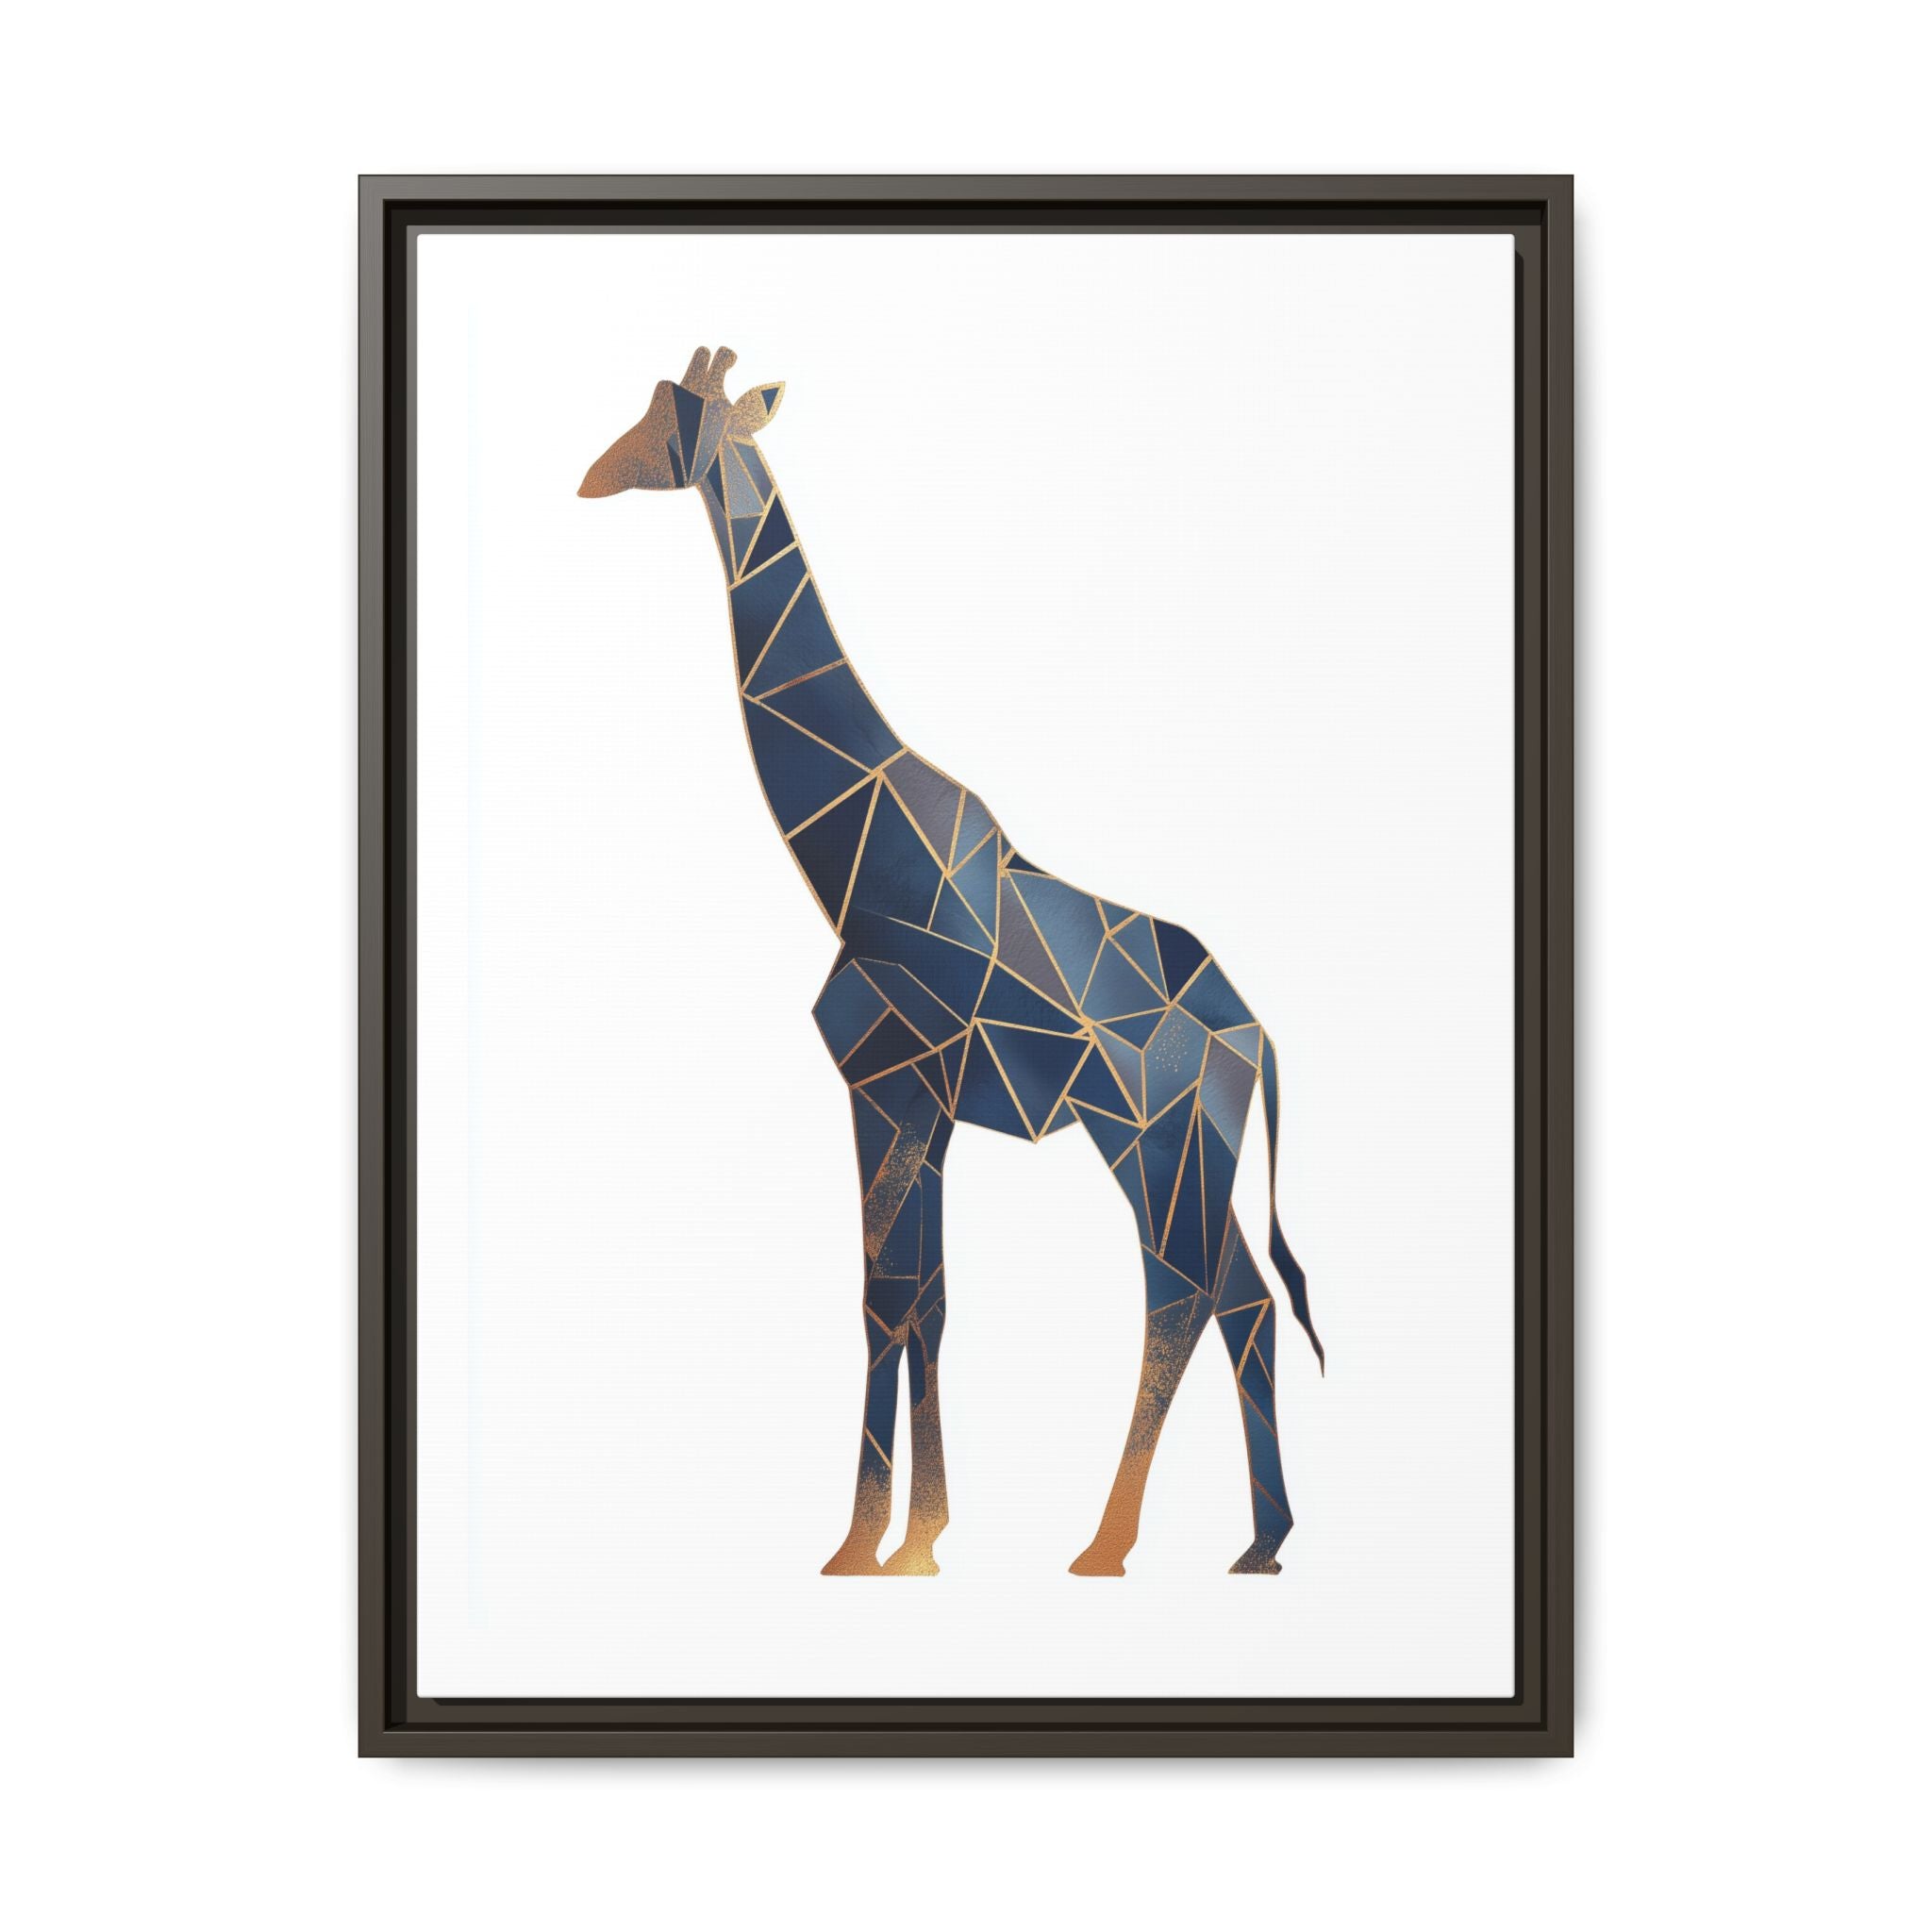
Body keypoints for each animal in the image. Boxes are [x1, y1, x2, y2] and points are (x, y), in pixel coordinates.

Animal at [580, 345, 1322, 1577]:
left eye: (676, 421)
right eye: (648, 406)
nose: (593, 474)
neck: (854, 860)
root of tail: (1253, 1034)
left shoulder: (886, 1084)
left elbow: (888, 1299)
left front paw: (874, 1542)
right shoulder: (917, 1104)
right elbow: (920, 1298)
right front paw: (906, 1537)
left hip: (1150, 1136)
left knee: (1181, 1293)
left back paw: (1108, 1544)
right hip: (1186, 1146)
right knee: (1241, 1299)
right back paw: (1258, 1541)